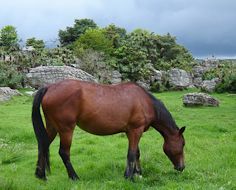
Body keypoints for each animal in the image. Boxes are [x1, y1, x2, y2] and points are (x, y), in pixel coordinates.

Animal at [31, 79, 186, 181]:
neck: (145, 102)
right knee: (63, 152)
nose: (182, 167)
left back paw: (40, 175)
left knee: (42, 145)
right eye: (183, 144)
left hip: (52, 127)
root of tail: (49, 87)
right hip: (66, 129)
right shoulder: (136, 130)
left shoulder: (132, 132)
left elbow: (136, 153)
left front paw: (138, 173)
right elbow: (131, 154)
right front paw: (129, 177)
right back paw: (74, 177)